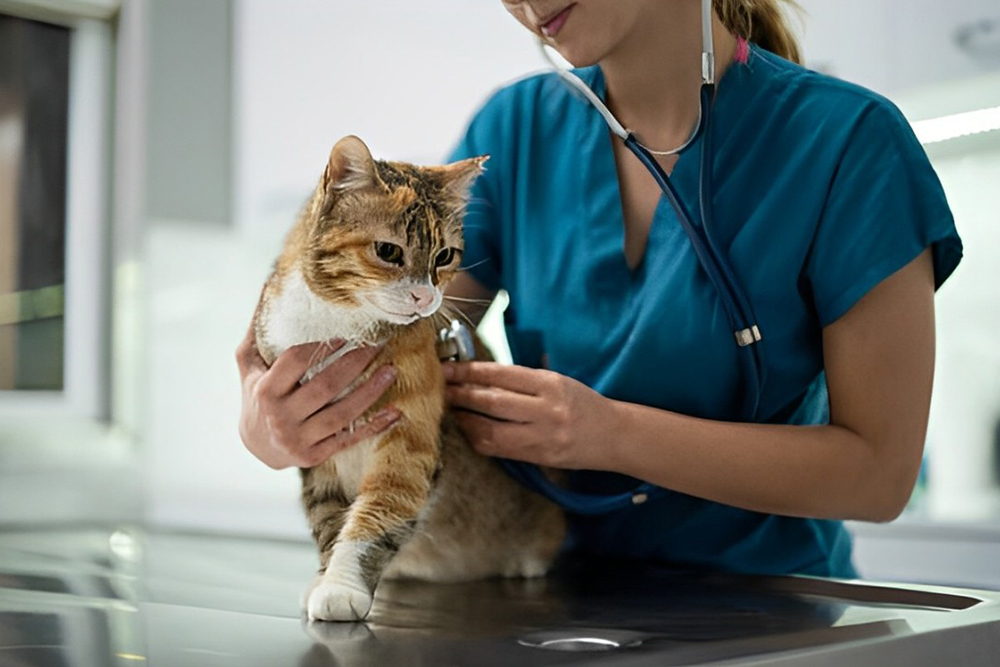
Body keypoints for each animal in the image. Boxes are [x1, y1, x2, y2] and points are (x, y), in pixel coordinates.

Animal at [252, 137, 564, 628]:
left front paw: (341, 588)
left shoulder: (408, 441)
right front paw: (326, 580)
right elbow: (328, 520)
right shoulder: (314, 448)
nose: (425, 297)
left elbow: (376, 516)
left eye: (444, 256)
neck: (338, 326)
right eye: (388, 251)